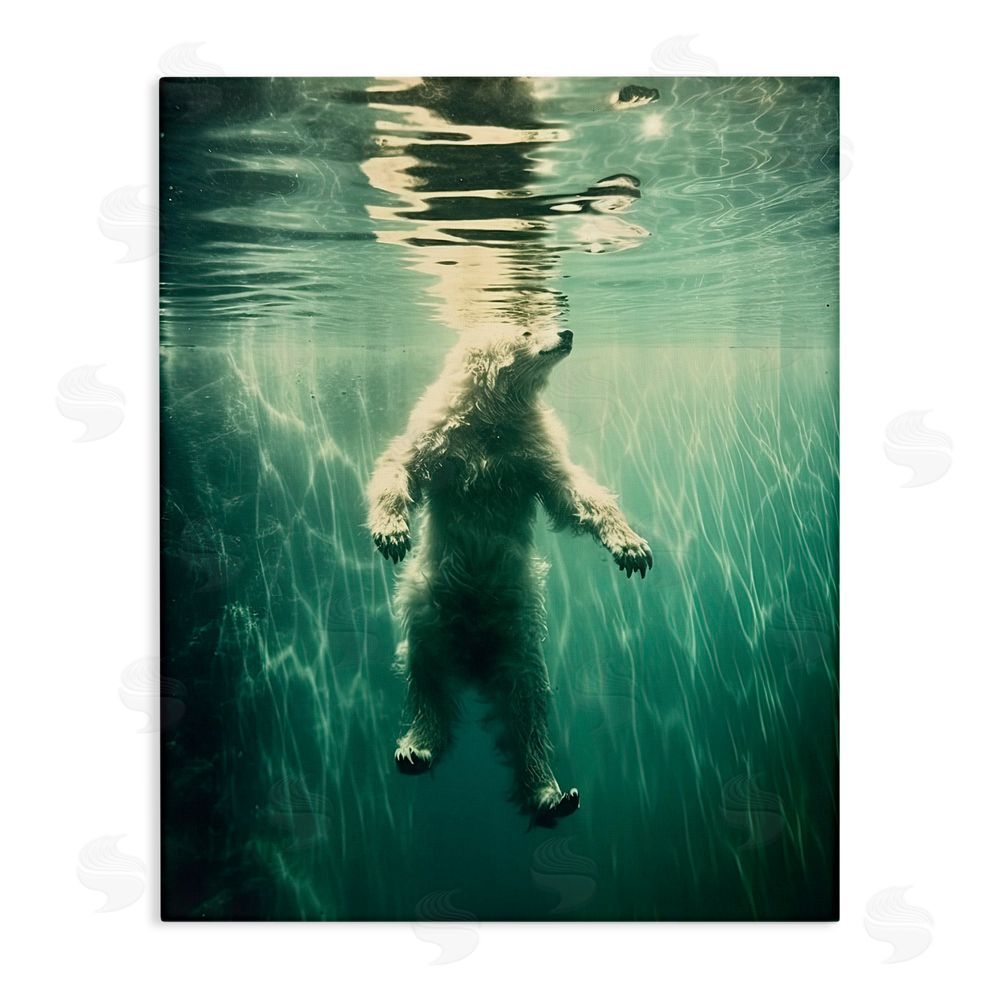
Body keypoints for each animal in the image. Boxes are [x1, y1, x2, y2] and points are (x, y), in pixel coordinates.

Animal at [367, 326, 652, 827]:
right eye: (525, 326)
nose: (567, 331)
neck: (490, 414)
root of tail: (474, 657)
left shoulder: (530, 451)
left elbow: (574, 493)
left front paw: (632, 547)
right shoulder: (440, 433)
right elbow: (398, 465)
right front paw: (391, 533)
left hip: (518, 629)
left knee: (526, 705)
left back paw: (551, 792)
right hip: (429, 606)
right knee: (426, 677)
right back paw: (416, 749)